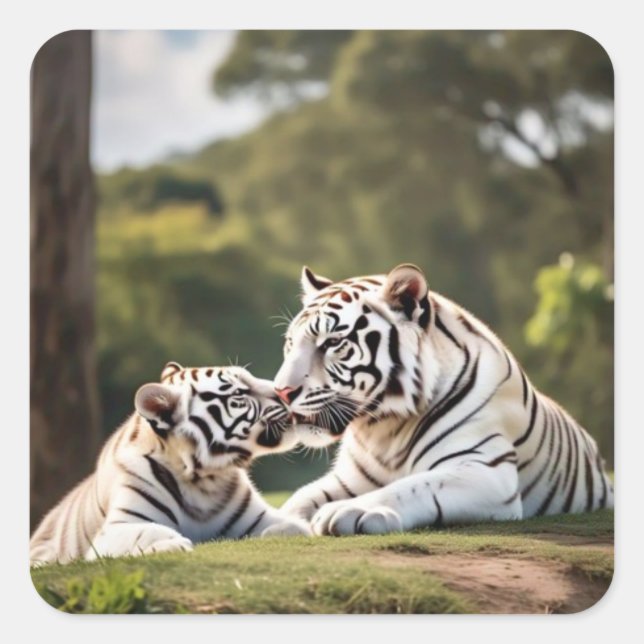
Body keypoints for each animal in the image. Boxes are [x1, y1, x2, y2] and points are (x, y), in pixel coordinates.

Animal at [30, 363, 310, 566]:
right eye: (239, 393)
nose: (286, 392)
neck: (206, 479)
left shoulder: (261, 518)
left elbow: (294, 527)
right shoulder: (115, 530)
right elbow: (151, 531)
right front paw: (174, 544)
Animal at [274, 264, 614, 536]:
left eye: (332, 343)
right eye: (290, 343)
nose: (280, 391)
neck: (382, 429)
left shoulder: (486, 470)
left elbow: (411, 486)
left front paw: (351, 510)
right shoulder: (349, 479)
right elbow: (302, 496)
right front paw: (284, 522)